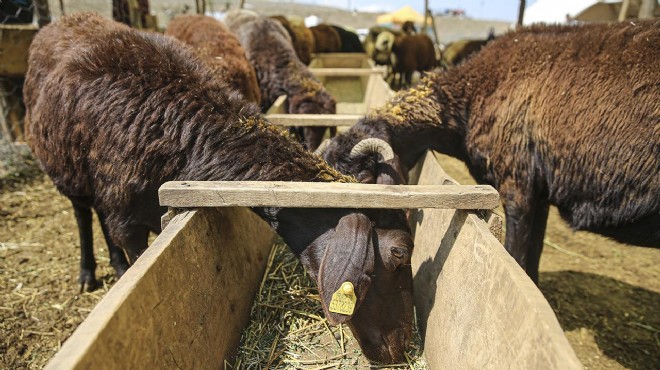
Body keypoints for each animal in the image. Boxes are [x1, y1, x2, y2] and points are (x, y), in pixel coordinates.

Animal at [27, 13, 418, 364]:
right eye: (400, 253)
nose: (403, 348)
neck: (183, 131)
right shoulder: (129, 222)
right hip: (65, 171)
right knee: (83, 213)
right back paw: (90, 273)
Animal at [322, 21, 660, 284]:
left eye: (365, 178)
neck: (473, 94)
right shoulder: (540, 193)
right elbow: (533, 257)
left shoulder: (518, 187)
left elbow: (517, 255)